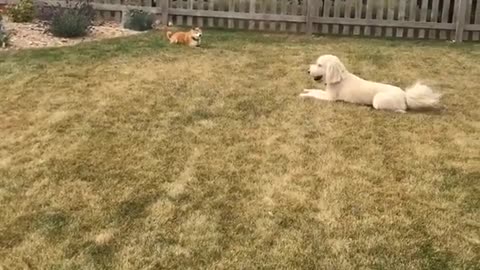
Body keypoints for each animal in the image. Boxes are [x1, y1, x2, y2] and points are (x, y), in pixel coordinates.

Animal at [300, 54, 442, 113]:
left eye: (319, 65)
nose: (308, 71)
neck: (340, 78)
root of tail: (404, 95)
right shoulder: (326, 93)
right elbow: (314, 90)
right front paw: (306, 90)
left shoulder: (330, 98)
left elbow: (314, 94)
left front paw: (303, 95)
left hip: (378, 100)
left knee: (401, 109)